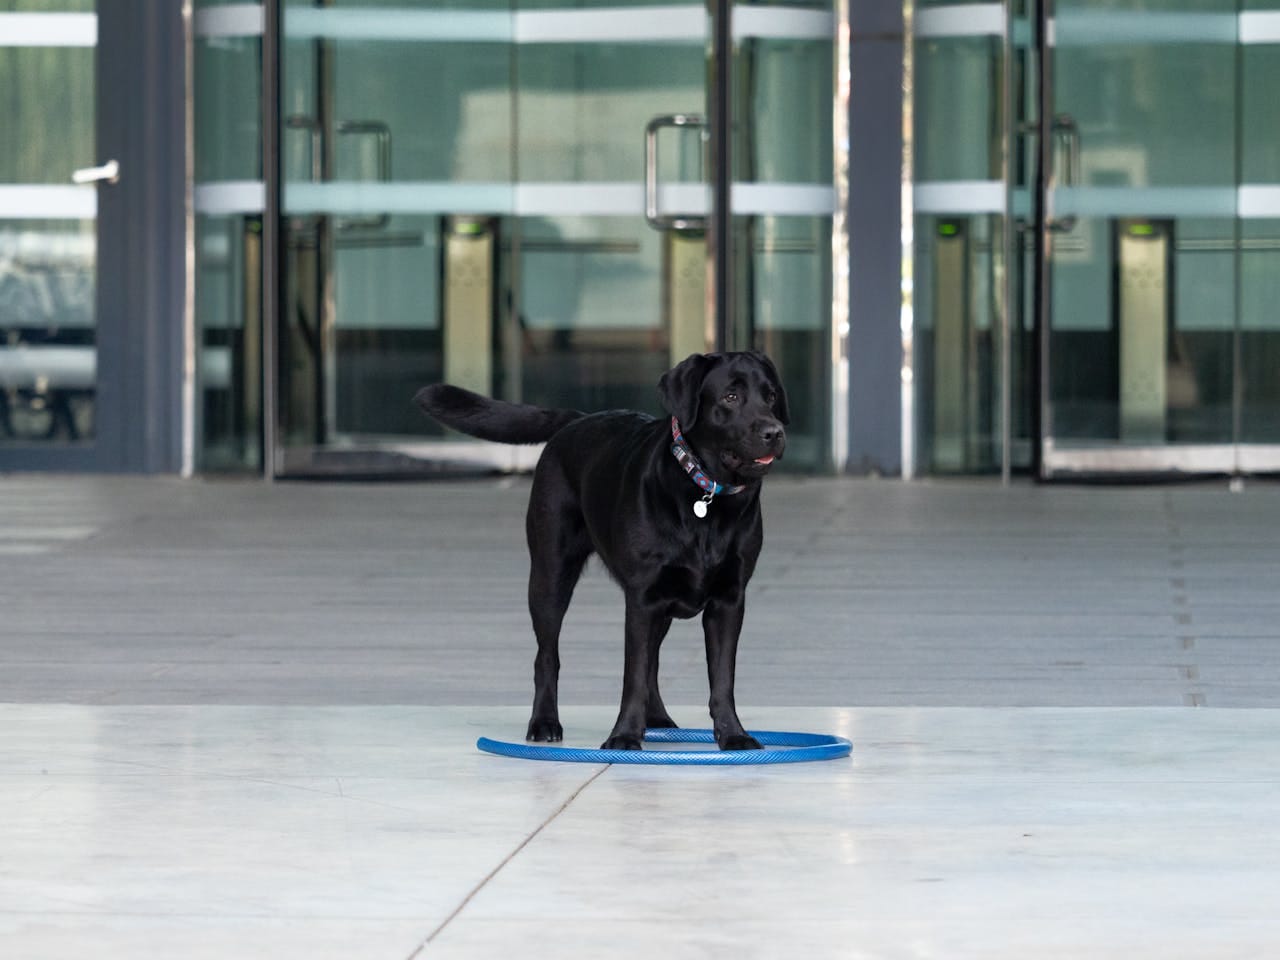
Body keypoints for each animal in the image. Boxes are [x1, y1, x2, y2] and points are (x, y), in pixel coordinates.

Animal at [414, 353, 783, 752]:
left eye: (771, 396)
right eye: (731, 396)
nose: (775, 432)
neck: (705, 495)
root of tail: (577, 419)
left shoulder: (727, 601)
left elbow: (721, 677)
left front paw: (733, 734)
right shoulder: (643, 598)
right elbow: (632, 674)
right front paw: (623, 736)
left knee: (652, 659)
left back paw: (657, 719)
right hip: (550, 576)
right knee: (548, 656)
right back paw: (544, 723)